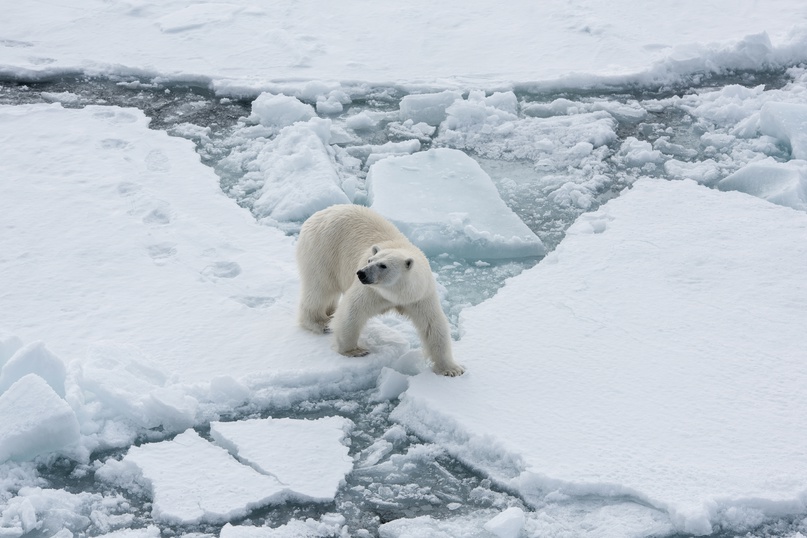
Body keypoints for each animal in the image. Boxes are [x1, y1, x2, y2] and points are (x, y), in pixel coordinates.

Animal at [296, 203, 464, 374]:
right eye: (370, 260)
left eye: (383, 265)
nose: (361, 273)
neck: (397, 293)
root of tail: (320, 213)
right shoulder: (372, 291)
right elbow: (352, 310)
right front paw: (355, 350)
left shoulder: (420, 295)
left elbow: (432, 324)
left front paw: (452, 369)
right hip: (323, 250)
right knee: (320, 288)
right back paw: (320, 323)